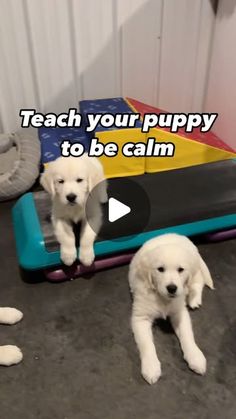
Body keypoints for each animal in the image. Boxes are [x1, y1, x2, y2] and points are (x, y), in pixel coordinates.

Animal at [129, 235, 214, 386]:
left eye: (180, 269)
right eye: (160, 269)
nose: (172, 288)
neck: (162, 298)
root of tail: (177, 235)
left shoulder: (179, 313)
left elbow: (187, 335)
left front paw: (195, 356)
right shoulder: (140, 318)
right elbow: (146, 344)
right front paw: (151, 367)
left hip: (194, 271)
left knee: (198, 280)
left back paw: (194, 299)